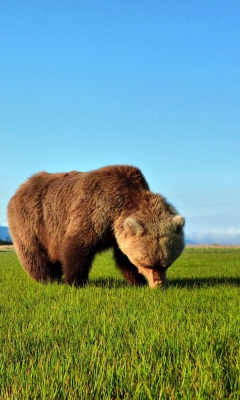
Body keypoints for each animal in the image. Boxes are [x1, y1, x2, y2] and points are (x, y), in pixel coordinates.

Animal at [6, 164, 185, 290]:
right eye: (147, 264)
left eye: (167, 264)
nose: (159, 285)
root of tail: (22, 186)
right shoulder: (94, 211)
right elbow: (77, 246)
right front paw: (76, 282)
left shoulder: (117, 232)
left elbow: (123, 257)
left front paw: (137, 281)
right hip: (31, 221)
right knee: (34, 253)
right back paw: (48, 279)